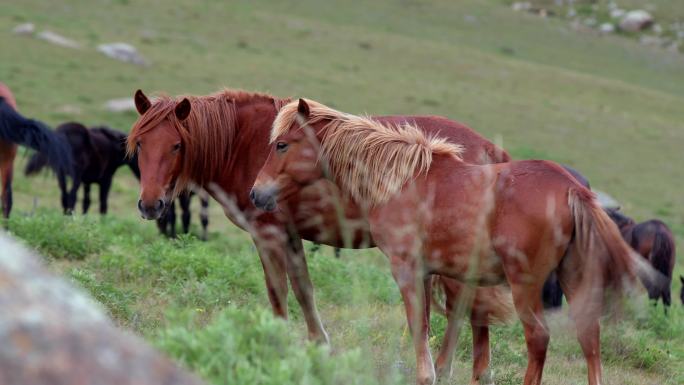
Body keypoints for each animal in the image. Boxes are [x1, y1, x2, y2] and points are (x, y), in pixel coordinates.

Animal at [25, 121, 208, 238]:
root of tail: (61, 132)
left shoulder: (87, 181)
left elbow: (87, 202)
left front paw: (83, 221)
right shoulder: (106, 179)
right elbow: (102, 203)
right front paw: (101, 224)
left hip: (62, 175)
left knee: (65, 197)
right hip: (74, 175)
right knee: (70, 196)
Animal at [128, 88, 512, 380]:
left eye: (176, 145)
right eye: (141, 144)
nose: (149, 204)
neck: (242, 142)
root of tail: (490, 150)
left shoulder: (267, 234)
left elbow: (278, 293)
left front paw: (277, 346)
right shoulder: (291, 236)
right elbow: (304, 290)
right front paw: (319, 346)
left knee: (463, 307)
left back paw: (449, 369)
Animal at [252, 98, 652, 384]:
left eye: (282, 144)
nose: (257, 193)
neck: (402, 180)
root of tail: (570, 188)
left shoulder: (407, 270)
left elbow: (420, 330)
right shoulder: (430, 274)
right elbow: (430, 328)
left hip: (525, 285)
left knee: (538, 339)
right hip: (574, 278)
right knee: (589, 339)